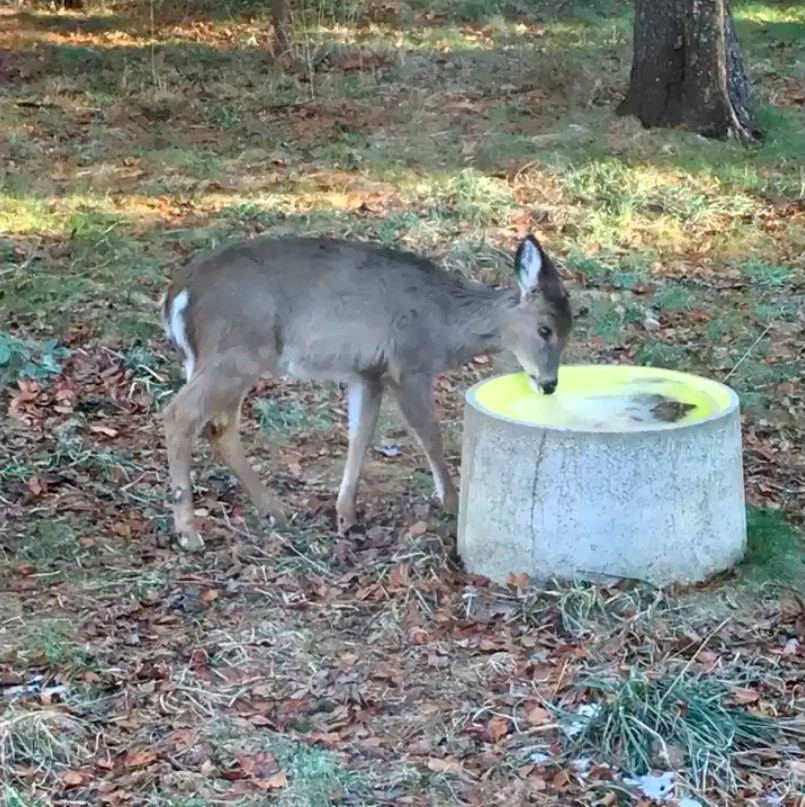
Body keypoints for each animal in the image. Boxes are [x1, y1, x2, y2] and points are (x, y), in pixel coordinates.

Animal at [160, 233, 572, 552]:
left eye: (568, 332)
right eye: (545, 330)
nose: (549, 383)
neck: (445, 324)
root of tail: (176, 298)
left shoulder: (368, 372)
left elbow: (360, 435)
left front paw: (345, 514)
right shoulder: (407, 365)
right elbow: (430, 435)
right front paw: (452, 504)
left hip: (229, 359)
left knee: (219, 426)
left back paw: (274, 511)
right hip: (236, 352)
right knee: (179, 414)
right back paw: (189, 534)